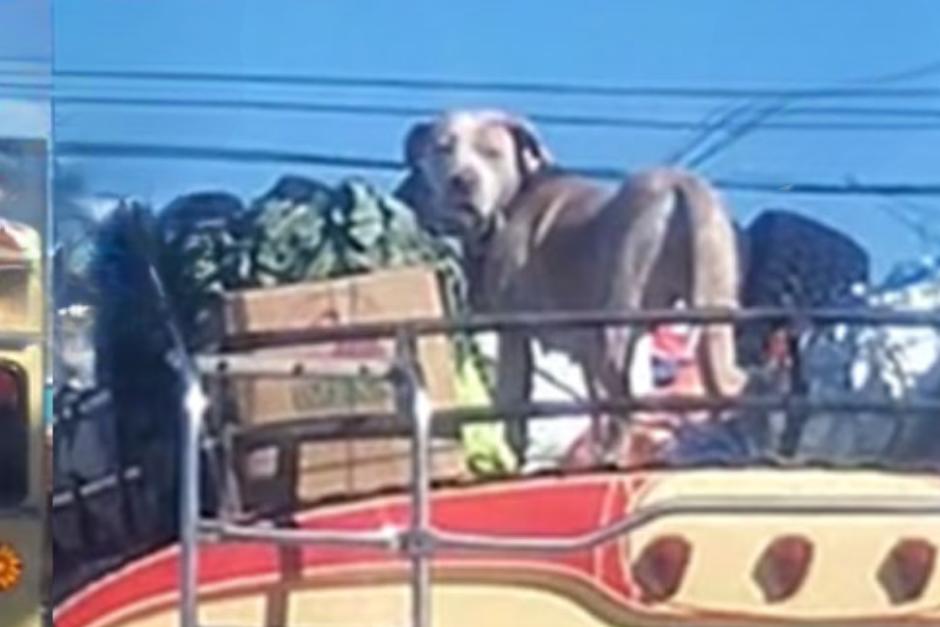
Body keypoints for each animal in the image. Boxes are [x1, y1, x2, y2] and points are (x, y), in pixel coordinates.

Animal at [398, 109, 748, 462]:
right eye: (442, 148)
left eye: (492, 153)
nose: (463, 181)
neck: (515, 196)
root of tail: (679, 184)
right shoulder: (584, 350)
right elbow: (593, 404)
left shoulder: (514, 331)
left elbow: (514, 405)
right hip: (713, 308)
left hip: (618, 317)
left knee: (623, 401)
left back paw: (615, 457)